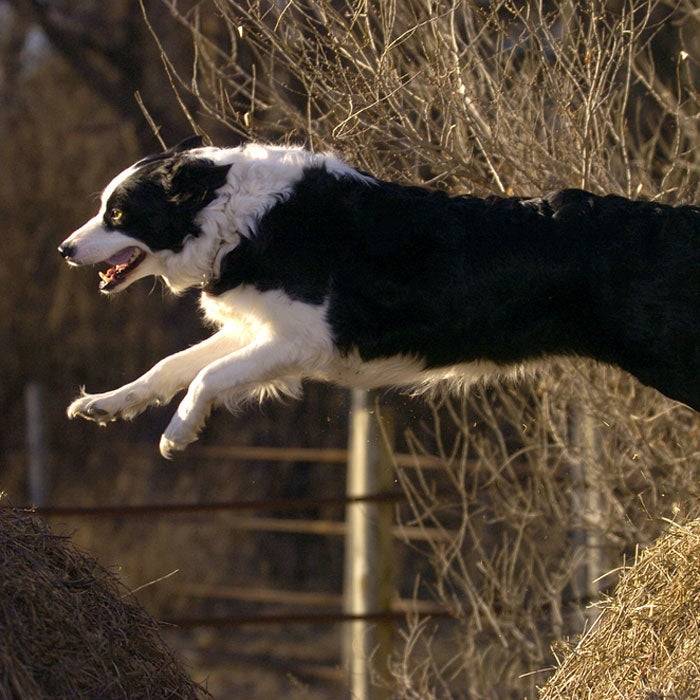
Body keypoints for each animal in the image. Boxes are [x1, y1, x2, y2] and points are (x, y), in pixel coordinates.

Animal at [58, 137, 700, 460]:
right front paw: (107, 404)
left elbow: (206, 377)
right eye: (103, 208)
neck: (236, 216)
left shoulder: (305, 340)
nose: (64, 249)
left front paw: (178, 432)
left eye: (118, 215)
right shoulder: (262, 330)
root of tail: (680, 221)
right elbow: (173, 366)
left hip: (673, 362)